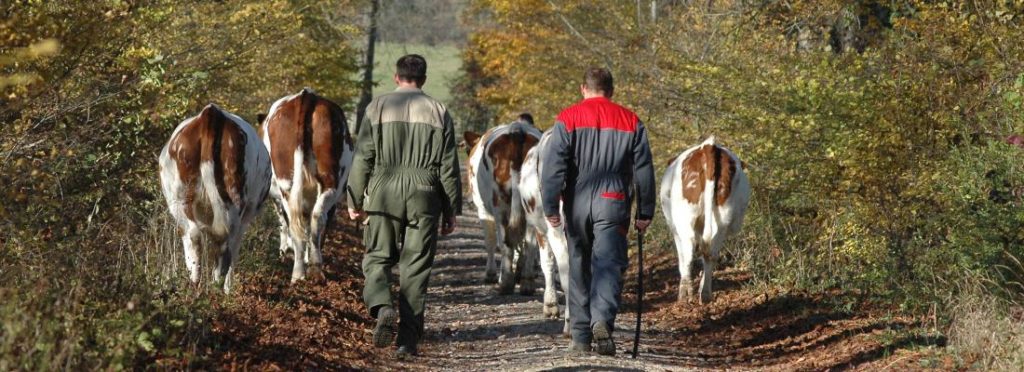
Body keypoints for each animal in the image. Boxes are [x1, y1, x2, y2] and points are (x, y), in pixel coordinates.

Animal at [158, 103, 272, 293]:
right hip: (233, 198)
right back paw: (217, 285)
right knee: (224, 242)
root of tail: (211, 113)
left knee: (193, 234)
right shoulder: (247, 216)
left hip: (179, 198)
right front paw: (228, 288)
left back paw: (195, 285)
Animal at [464, 120, 544, 295]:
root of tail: (517, 130)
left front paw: (490, 274)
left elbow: (490, 241)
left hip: (499, 203)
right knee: (530, 241)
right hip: (531, 203)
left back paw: (506, 282)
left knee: (505, 242)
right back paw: (527, 281)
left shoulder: (482, 210)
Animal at [655, 135, 753, 305]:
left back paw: (686, 295)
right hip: (724, 218)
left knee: (689, 253)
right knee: (711, 253)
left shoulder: (675, 230)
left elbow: (682, 259)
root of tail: (708, 146)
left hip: (684, 218)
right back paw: (705, 293)